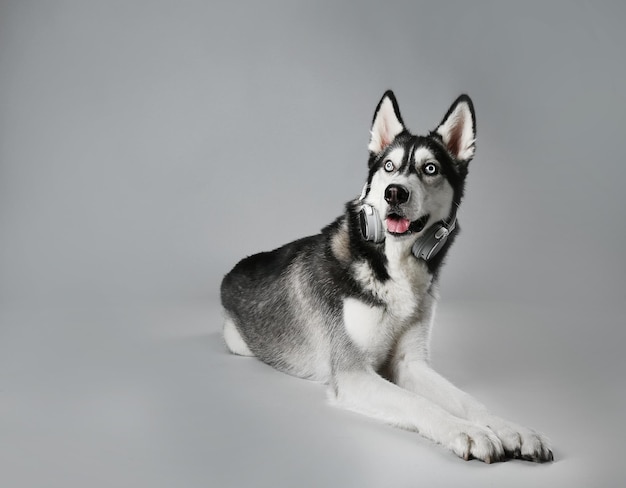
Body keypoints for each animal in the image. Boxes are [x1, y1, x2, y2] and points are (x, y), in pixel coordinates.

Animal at [219, 90, 552, 462]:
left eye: (430, 168)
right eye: (389, 167)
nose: (394, 192)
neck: (394, 267)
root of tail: (236, 268)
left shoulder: (411, 363)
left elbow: (467, 401)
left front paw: (511, 429)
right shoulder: (353, 374)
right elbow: (417, 403)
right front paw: (467, 431)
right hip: (238, 342)